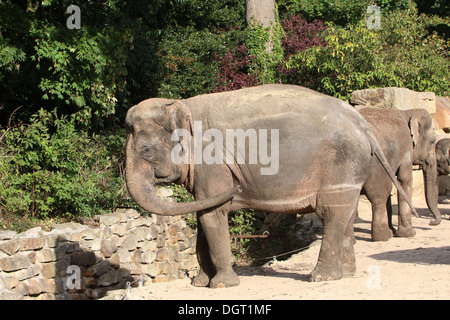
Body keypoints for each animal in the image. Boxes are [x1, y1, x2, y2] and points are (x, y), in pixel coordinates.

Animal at [360, 107, 442, 240]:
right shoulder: (407, 149)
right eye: (432, 142)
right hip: (375, 166)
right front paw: (409, 234)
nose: (431, 222)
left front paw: (394, 231)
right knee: (379, 196)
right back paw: (384, 237)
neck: (408, 112)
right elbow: (405, 180)